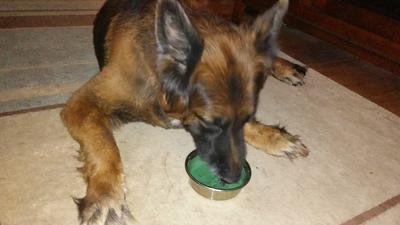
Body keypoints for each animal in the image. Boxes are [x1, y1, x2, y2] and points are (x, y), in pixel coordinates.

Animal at [60, 0, 310, 223]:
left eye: (247, 117)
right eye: (209, 123)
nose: (231, 178)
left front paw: (273, 137)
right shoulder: (82, 103)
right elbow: (104, 145)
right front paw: (105, 193)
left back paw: (289, 67)